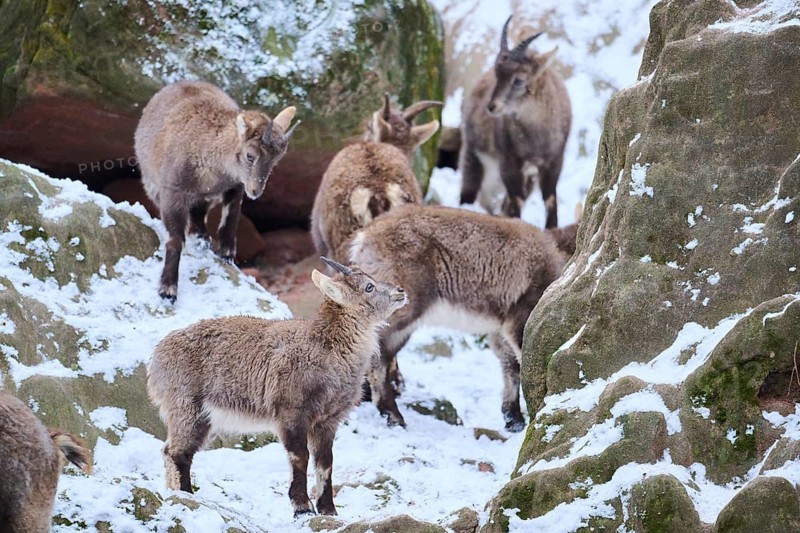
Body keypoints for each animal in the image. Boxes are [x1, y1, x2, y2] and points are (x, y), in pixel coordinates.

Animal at [134, 80, 299, 302]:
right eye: (250, 156)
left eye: (275, 162)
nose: (255, 191)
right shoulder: (172, 192)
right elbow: (175, 240)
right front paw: (168, 289)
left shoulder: (234, 186)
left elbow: (231, 217)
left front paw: (227, 254)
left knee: (199, 214)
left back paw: (204, 238)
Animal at [146, 257, 407, 517]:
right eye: (369, 287)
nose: (400, 291)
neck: (327, 348)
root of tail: (156, 360)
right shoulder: (291, 413)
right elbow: (299, 457)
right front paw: (302, 507)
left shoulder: (327, 420)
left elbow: (325, 463)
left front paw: (328, 510)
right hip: (187, 408)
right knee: (176, 453)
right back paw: (186, 495)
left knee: (174, 451)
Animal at [347, 205, 573, 431]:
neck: (558, 253)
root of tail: (365, 237)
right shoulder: (520, 316)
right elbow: (523, 362)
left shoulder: (499, 328)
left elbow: (511, 366)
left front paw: (513, 418)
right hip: (400, 313)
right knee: (377, 357)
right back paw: (393, 414)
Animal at [460, 16, 571, 226]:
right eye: (497, 74)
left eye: (518, 80)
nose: (491, 107)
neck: (537, 138)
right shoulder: (509, 162)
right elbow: (515, 202)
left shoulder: (554, 161)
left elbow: (550, 199)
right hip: (474, 155)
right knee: (471, 192)